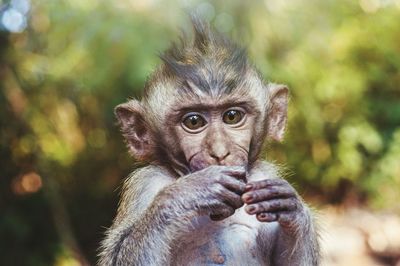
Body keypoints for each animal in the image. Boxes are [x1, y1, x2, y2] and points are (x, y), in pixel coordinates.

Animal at [99, 18, 318, 266]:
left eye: (232, 116)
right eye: (193, 121)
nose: (219, 152)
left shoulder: (264, 177)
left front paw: (294, 209)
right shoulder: (145, 183)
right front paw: (191, 192)